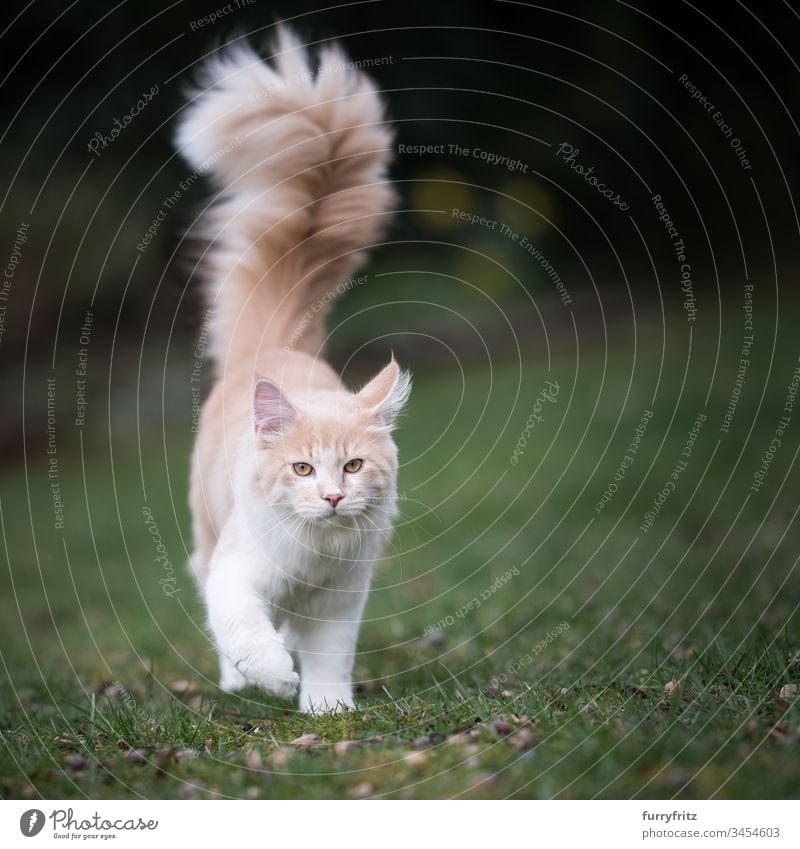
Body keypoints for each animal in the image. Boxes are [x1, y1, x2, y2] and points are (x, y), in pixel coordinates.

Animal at [178, 29, 410, 712]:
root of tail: (273, 347)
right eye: (303, 469)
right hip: (208, 532)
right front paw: (272, 677)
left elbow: (329, 657)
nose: (331, 497)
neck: (313, 554)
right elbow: (243, 628)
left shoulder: (340, 599)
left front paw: (327, 708)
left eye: (353, 466)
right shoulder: (236, 573)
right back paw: (238, 680)